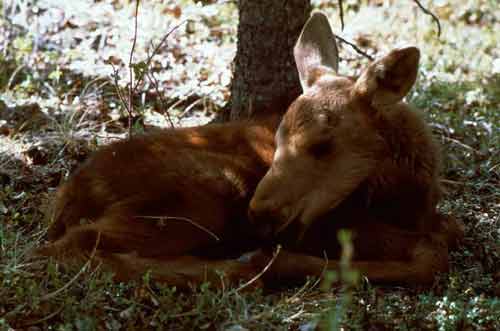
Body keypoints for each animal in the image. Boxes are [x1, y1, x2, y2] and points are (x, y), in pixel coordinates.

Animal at [39, 12, 464, 288]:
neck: (410, 194)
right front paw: (275, 261)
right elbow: (431, 254)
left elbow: (448, 232)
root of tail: (70, 197)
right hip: (204, 196)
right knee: (71, 247)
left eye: (323, 145)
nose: (259, 213)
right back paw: (235, 268)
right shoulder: (327, 225)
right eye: (277, 139)